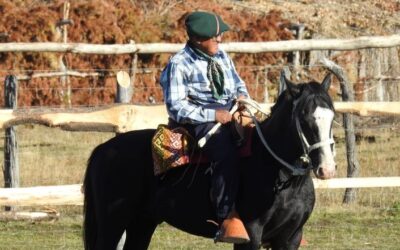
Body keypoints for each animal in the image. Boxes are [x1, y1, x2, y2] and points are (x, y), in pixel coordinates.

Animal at [83, 73, 336, 250]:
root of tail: (103, 150)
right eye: (304, 117)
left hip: (142, 223)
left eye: (332, 116)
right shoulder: (251, 236)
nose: (327, 169)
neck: (277, 174)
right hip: (113, 222)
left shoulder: (291, 237)